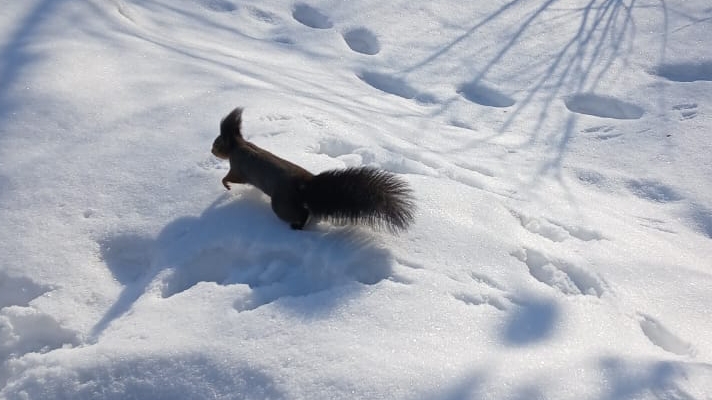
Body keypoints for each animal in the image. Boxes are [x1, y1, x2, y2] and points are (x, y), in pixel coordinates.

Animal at [211, 107, 415, 232]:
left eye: (217, 144)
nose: (212, 151)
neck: (239, 145)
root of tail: (306, 186)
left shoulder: (238, 168)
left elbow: (230, 178)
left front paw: (226, 186)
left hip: (282, 204)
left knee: (301, 214)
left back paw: (297, 226)